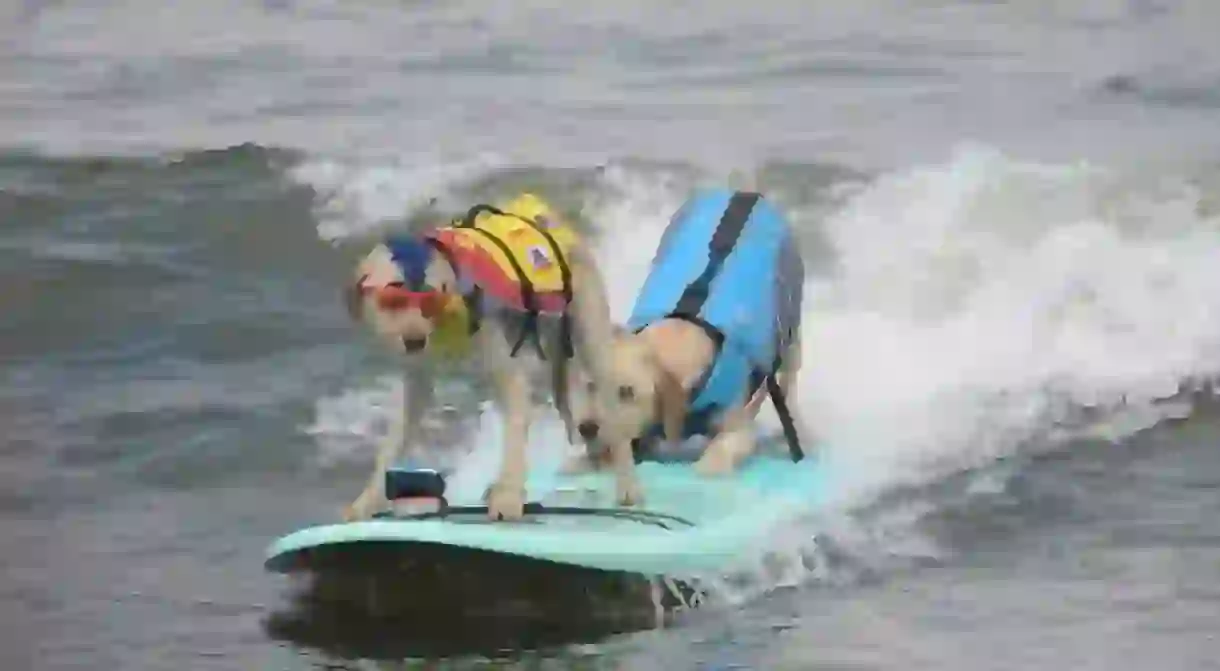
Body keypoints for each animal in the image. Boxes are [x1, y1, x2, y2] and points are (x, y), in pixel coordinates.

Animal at [336, 191, 619, 524]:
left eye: (430, 299)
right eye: (393, 301)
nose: (415, 340)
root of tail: (549, 215)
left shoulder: (505, 371)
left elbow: (515, 430)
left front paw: (508, 495)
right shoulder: (417, 383)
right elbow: (397, 437)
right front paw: (367, 500)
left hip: (589, 335)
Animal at [568, 186, 814, 502]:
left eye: (626, 392)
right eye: (590, 385)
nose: (586, 428)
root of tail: (745, 193)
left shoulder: (737, 429)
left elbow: (719, 454)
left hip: (791, 331)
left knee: (788, 384)